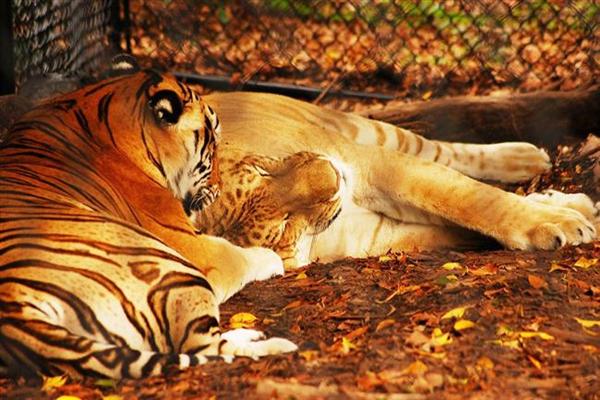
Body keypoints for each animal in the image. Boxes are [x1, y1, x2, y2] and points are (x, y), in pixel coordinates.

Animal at [0, 65, 296, 378]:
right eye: (213, 143)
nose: (219, 186)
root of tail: (14, 310)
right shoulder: (197, 247)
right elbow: (240, 254)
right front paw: (272, 258)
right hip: (178, 271)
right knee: (205, 347)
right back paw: (273, 343)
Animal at [191, 90, 596, 266]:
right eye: (283, 225)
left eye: (263, 167)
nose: (331, 174)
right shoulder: (372, 236)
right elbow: (456, 227)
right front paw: (573, 219)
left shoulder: (372, 164)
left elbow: (471, 198)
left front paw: (558, 222)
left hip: (364, 131)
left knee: (442, 151)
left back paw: (527, 159)